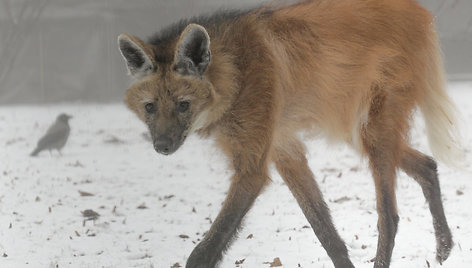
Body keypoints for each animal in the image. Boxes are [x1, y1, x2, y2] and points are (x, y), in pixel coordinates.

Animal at [117, 0, 460, 268]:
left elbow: (204, 251)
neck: (235, 74)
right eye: (150, 107)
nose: (162, 146)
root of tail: (418, 12)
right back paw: (444, 247)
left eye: (183, 105)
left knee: (389, 216)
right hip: (358, 132)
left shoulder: (253, 166)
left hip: (371, 130)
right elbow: (325, 231)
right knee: (427, 165)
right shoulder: (283, 147)